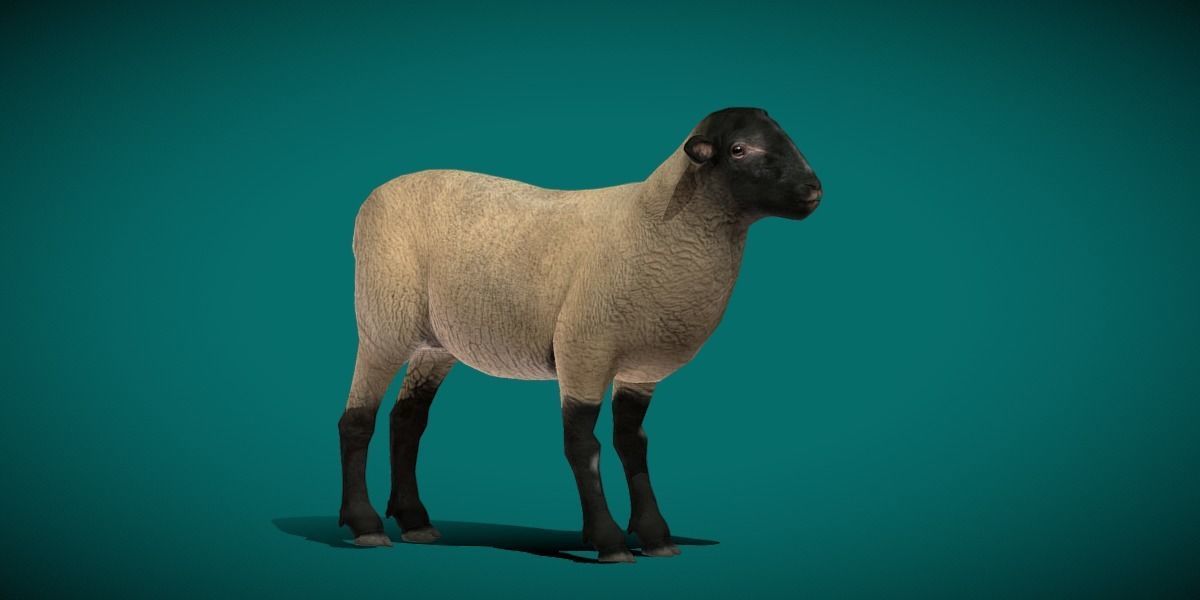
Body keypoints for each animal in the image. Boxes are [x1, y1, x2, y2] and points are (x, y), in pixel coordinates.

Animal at [337, 107, 822, 562]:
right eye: (739, 149)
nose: (814, 191)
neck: (658, 225)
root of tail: (375, 195)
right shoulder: (583, 350)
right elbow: (582, 446)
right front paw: (609, 540)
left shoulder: (639, 372)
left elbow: (633, 443)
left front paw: (655, 535)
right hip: (384, 321)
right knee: (357, 420)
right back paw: (366, 525)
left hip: (435, 344)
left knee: (407, 419)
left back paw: (415, 520)